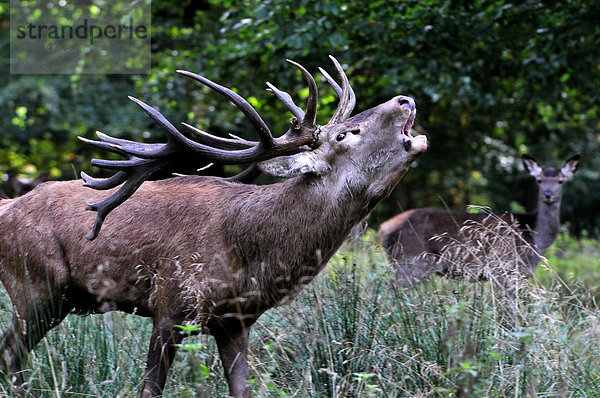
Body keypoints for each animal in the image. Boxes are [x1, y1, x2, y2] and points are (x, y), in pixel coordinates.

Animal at [0, 56, 426, 398]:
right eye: (343, 134)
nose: (404, 99)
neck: (255, 254)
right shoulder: (170, 303)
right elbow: (150, 389)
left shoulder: (236, 323)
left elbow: (242, 389)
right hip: (36, 285)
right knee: (11, 354)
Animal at [380, 154, 580, 288]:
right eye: (539, 180)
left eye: (561, 181)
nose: (548, 194)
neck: (532, 237)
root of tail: (384, 228)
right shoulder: (503, 270)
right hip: (412, 261)